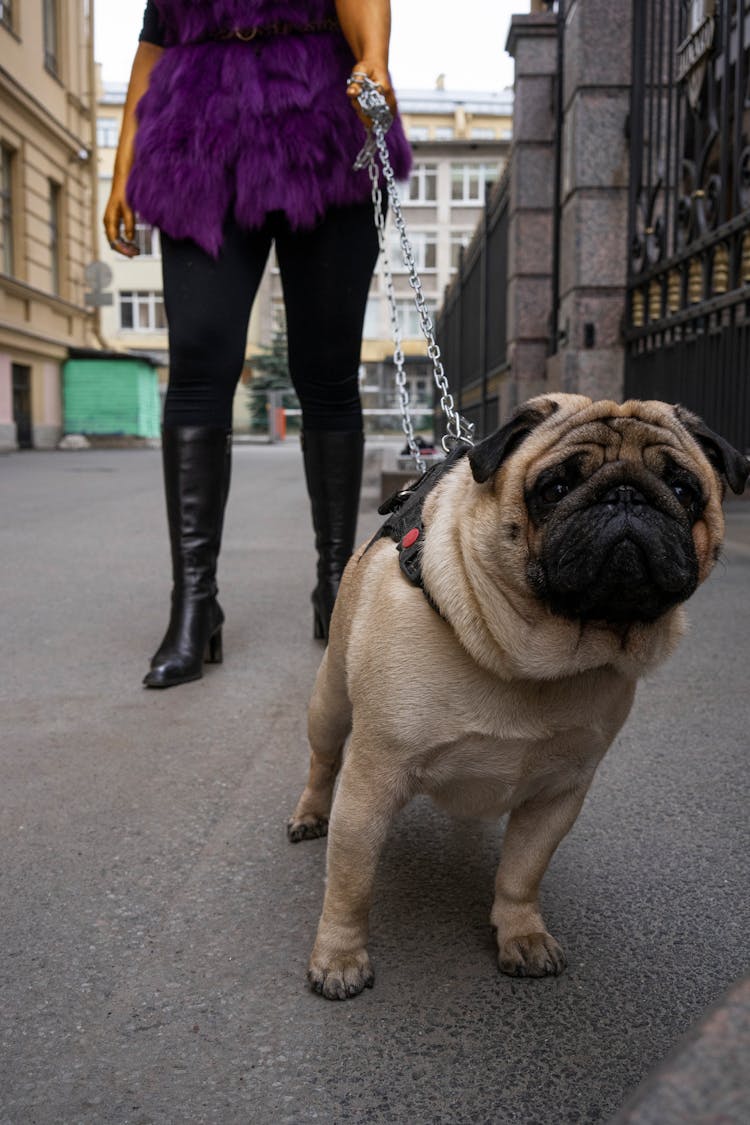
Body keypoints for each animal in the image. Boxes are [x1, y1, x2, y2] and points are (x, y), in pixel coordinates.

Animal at [290, 396, 750, 1003]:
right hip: (329, 705)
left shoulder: (560, 793)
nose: (626, 496)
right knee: (322, 762)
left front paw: (521, 935)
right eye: (554, 488)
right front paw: (340, 958)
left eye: (682, 489)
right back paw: (309, 814)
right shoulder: (370, 785)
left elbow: (521, 873)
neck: (534, 657)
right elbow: (350, 883)